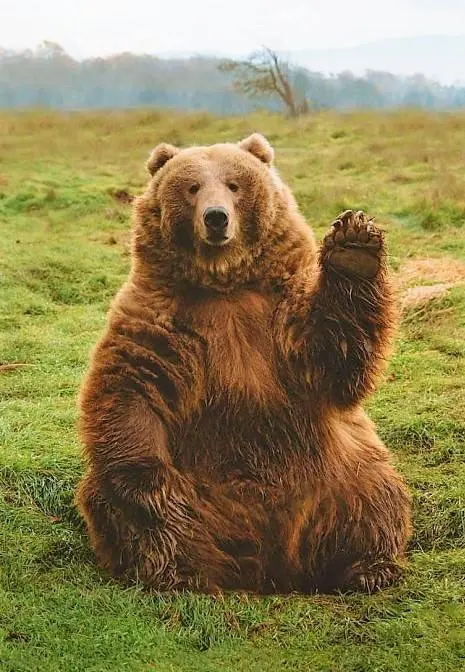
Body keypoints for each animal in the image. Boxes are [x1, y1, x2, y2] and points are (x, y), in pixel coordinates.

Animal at [76, 133, 412, 594]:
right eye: (192, 186)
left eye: (234, 184)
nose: (216, 218)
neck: (225, 284)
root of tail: (269, 564)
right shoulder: (159, 318)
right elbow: (130, 387)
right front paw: (148, 482)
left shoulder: (281, 316)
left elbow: (335, 355)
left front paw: (354, 246)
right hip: (201, 492)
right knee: (136, 517)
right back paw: (180, 573)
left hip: (335, 474)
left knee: (373, 494)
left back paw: (367, 568)